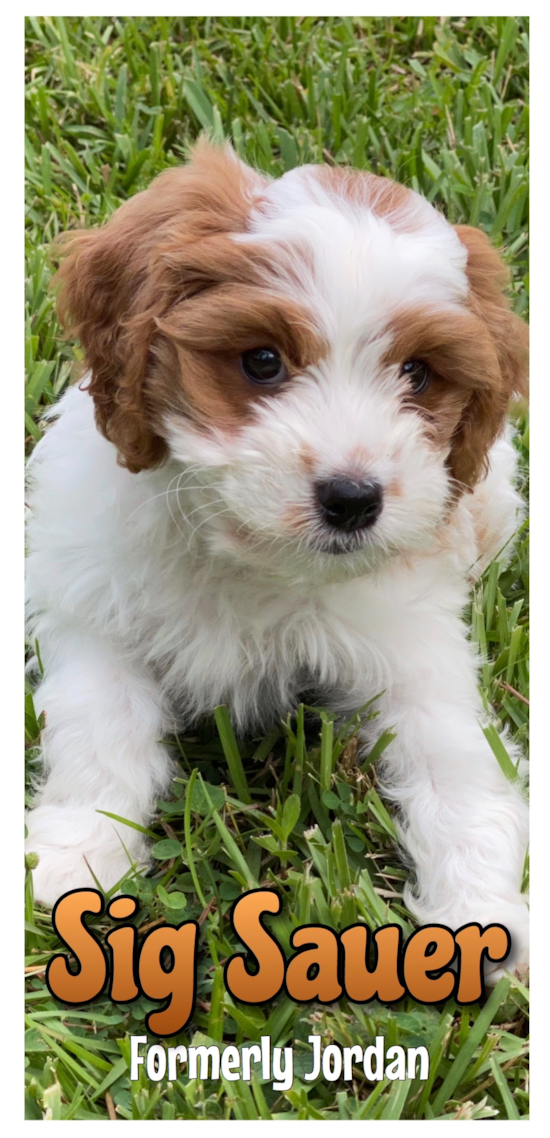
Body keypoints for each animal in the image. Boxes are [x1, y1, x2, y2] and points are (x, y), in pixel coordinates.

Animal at [24, 139, 530, 978]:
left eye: (418, 374)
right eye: (261, 361)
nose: (353, 500)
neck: (246, 552)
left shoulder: (413, 653)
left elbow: (457, 765)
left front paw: (480, 914)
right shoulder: (94, 609)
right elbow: (100, 728)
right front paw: (77, 856)